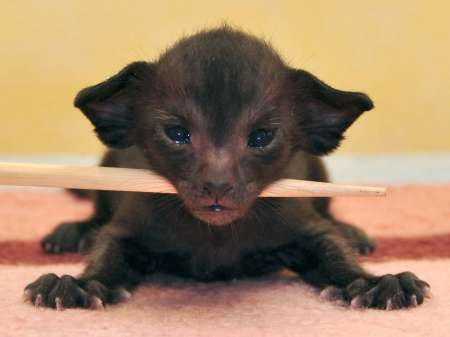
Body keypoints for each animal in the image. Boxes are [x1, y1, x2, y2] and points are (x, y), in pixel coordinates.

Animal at [25, 26, 428, 310]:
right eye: (177, 134)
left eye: (262, 137)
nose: (217, 185)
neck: (215, 235)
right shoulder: (128, 226)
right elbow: (108, 250)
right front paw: (79, 284)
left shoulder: (305, 226)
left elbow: (332, 248)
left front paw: (374, 282)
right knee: (97, 215)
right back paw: (74, 232)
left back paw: (352, 233)